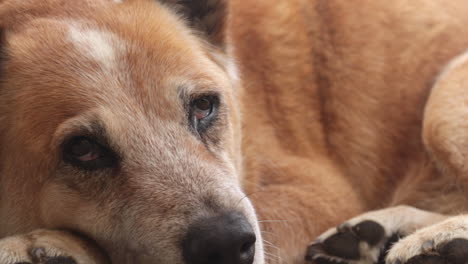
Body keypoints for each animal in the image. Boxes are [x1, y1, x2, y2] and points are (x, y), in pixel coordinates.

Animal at [1, 0, 468, 262]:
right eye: (83, 149)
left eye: (204, 105)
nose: (225, 245)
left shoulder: (316, 187)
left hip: (442, 109)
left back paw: (438, 242)